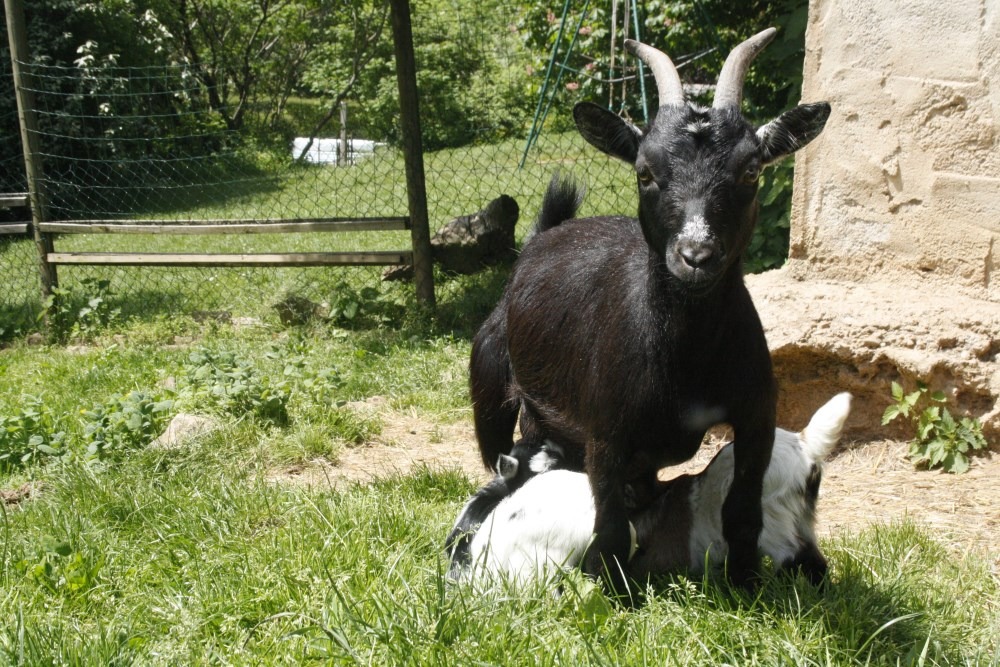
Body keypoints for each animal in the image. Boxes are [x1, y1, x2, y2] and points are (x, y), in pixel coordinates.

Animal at [472, 27, 832, 596]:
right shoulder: (606, 435)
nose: (696, 255)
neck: (687, 361)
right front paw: (613, 596)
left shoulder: (756, 414)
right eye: (645, 172)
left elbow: (743, 512)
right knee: (498, 460)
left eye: (752, 170)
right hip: (493, 391)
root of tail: (543, 238)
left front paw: (745, 583)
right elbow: (610, 525)